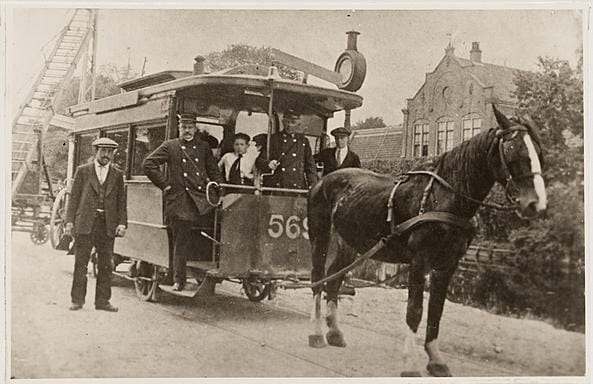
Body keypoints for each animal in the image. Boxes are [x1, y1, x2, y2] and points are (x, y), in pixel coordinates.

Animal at [308, 104, 548, 376]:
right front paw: (411, 364)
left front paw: (435, 360)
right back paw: (316, 333)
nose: (536, 204)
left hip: (350, 244)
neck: (444, 196)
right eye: (512, 152)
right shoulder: (419, 261)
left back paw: (334, 332)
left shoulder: (447, 264)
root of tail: (323, 180)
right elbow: (415, 310)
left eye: (539, 152)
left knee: (334, 279)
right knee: (318, 278)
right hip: (320, 236)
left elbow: (436, 311)